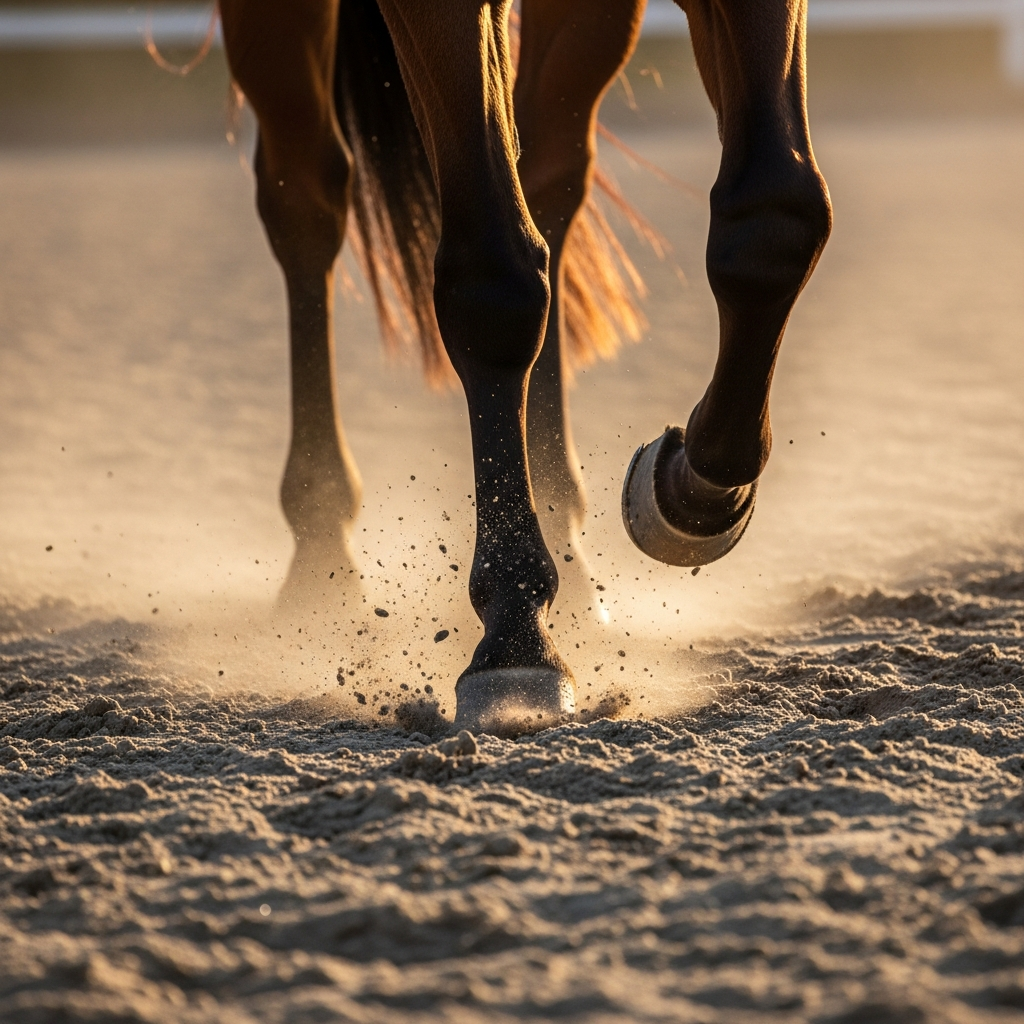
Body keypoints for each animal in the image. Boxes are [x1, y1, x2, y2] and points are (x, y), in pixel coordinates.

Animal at [215, 0, 832, 735]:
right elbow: (495, 282)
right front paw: (515, 633)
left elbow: (774, 218)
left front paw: (693, 490)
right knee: (306, 195)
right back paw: (320, 551)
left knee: (549, 178)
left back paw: (567, 531)